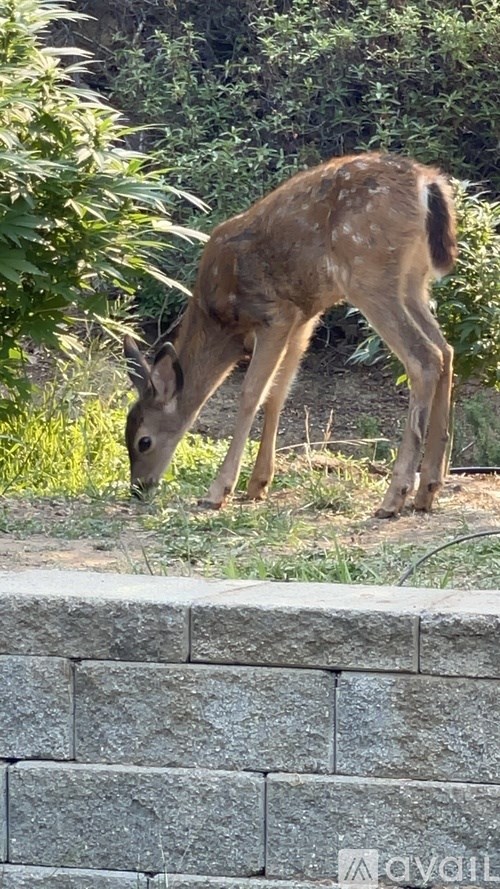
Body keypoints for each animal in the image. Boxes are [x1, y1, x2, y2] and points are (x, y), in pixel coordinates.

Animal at [123, 150, 457, 518]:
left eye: (143, 441)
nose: (138, 488)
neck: (221, 321)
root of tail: (426, 183)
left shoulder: (275, 313)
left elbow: (251, 394)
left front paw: (218, 490)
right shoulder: (303, 318)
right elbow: (278, 393)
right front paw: (257, 484)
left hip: (368, 272)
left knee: (424, 357)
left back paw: (394, 497)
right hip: (413, 281)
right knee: (446, 350)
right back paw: (428, 489)